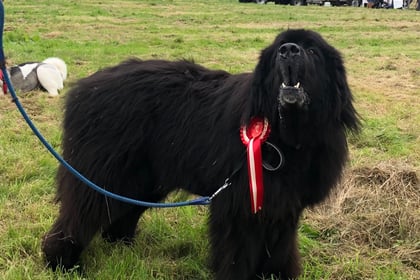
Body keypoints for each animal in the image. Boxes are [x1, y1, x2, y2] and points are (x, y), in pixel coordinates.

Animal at [41, 29, 358, 278]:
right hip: (103, 171)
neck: (287, 135)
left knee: (122, 209)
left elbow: (280, 246)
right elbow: (237, 251)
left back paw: (122, 246)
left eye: (312, 50)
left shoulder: (284, 205)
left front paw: (276, 275)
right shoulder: (238, 205)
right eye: (281, 47)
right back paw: (62, 263)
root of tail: (84, 88)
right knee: (79, 213)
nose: (288, 50)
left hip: (142, 179)